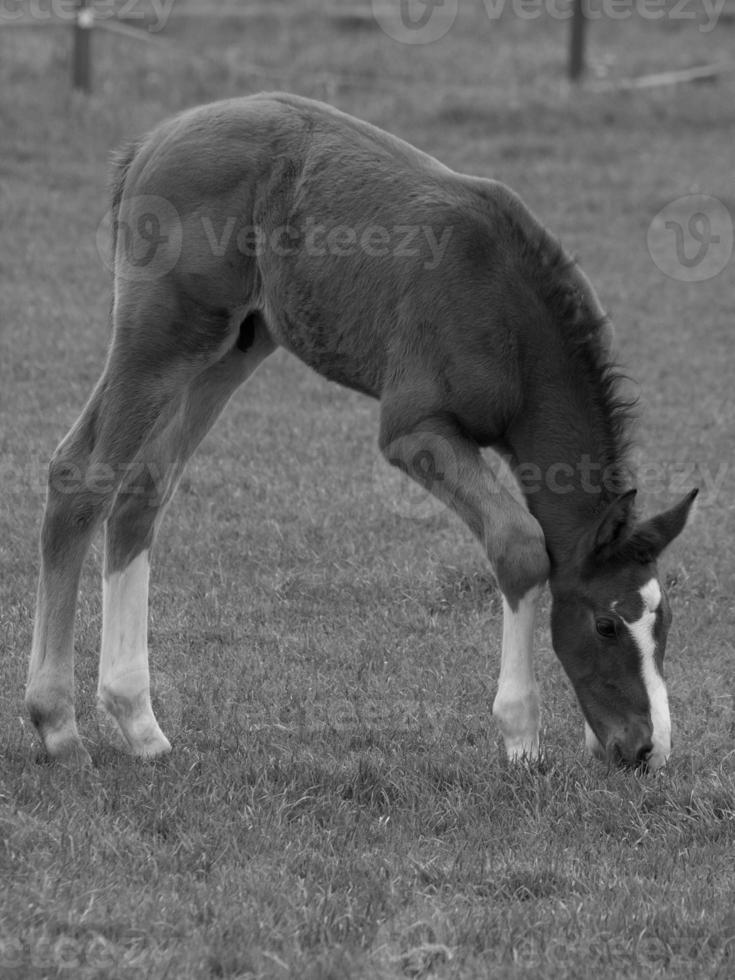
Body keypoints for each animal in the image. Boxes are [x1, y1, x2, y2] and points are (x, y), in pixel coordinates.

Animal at [25, 92, 700, 768]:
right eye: (605, 624)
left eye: (664, 623)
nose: (647, 750)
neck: (512, 317)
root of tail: (151, 141)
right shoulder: (415, 430)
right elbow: (521, 545)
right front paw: (522, 737)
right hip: (161, 337)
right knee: (81, 474)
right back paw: (58, 726)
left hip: (230, 347)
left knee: (142, 492)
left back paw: (139, 724)